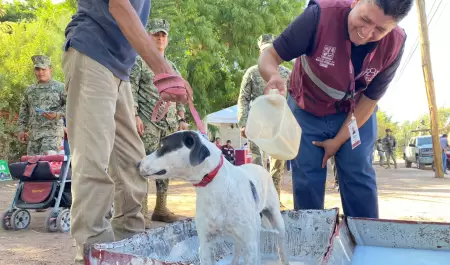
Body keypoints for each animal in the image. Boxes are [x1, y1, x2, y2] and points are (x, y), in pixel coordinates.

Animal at [137, 130, 290, 264]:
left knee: (280, 248)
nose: (137, 164)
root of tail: (259, 166)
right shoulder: (205, 244)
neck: (214, 186)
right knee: (238, 249)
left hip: (275, 222)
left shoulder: (249, 242)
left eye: (162, 146)